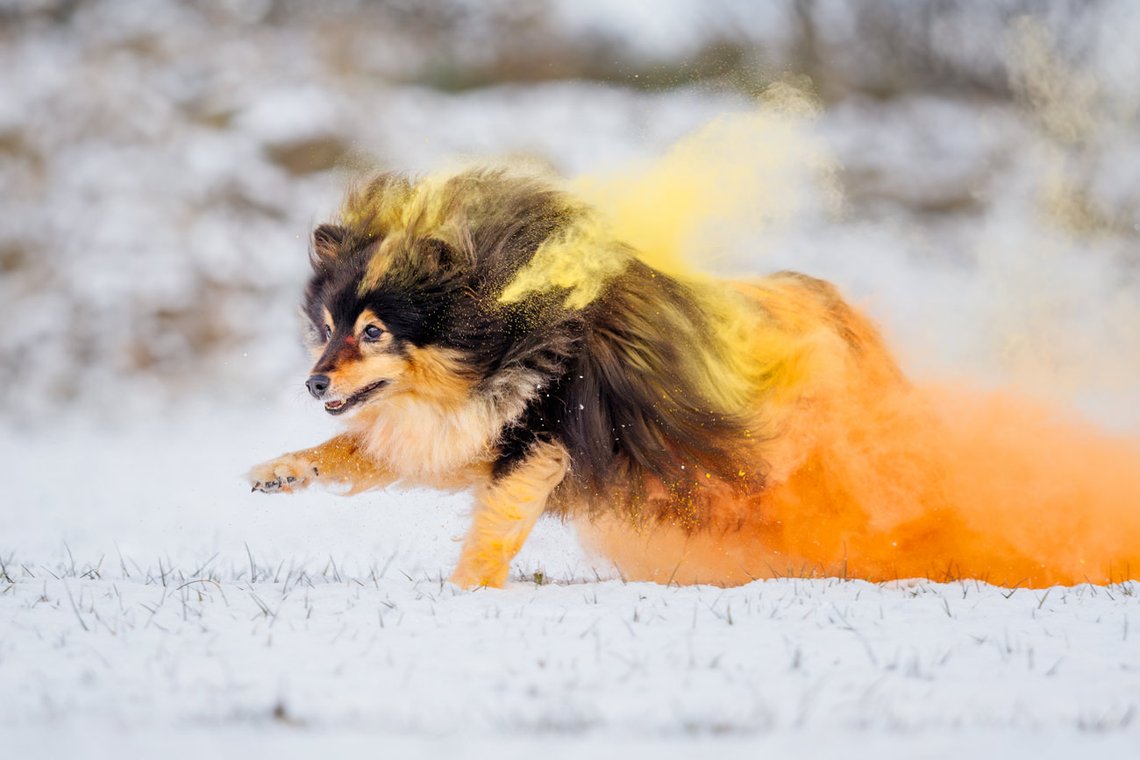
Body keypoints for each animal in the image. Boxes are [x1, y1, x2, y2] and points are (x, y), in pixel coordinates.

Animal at [249, 165, 1140, 587]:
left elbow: (494, 524)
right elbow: (356, 453)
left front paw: (468, 591)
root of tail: (836, 308)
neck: (514, 326)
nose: (314, 384)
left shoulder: (545, 436)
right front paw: (278, 472)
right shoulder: (475, 433)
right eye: (324, 328)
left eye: (374, 331)